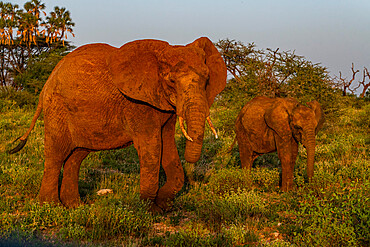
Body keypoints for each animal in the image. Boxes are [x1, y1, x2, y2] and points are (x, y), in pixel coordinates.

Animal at [8, 36, 227, 212]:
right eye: (171, 81)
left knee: (76, 157)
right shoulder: (137, 104)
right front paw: (146, 210)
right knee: (56, 155)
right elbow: (152, 148)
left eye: (207, 79)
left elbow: (168, 147)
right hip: (56, 109)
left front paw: (162, 207)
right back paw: (50, 207)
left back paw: (75, 206)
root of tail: (46, 84)